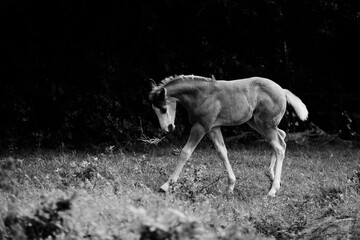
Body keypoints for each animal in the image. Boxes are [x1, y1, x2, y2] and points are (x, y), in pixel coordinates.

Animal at [149, 74, 310, 196]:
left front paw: (166, 186)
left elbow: (185, 152)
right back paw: (271, 176)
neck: (202, 95)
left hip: (265, 124)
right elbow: (222, 152)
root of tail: (282, 90)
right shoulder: (214, 128)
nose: (167, 128)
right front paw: (230, 186)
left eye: (163, 109)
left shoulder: (201, 127)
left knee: (279, 146)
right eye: (155, 110)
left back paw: (272, 190)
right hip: (256, 123)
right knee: (281, 136)